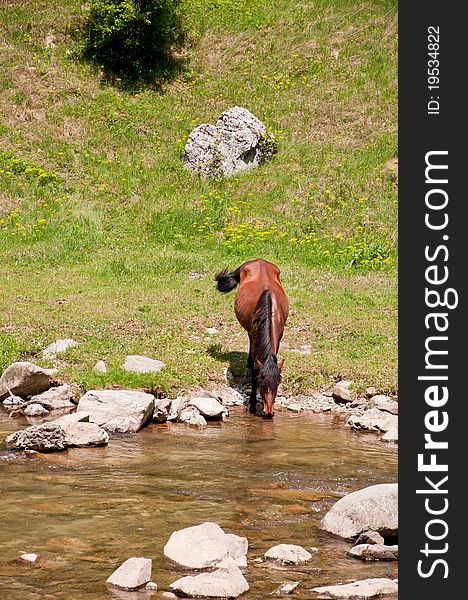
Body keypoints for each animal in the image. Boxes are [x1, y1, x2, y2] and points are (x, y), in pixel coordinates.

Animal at [216, 258, 288, 418]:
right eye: (261, 382)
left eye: (277, 384)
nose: (268, 412)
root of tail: (257, 260)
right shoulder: (256, 339)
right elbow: (255, 368)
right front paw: (253, 404)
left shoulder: (279, 336)